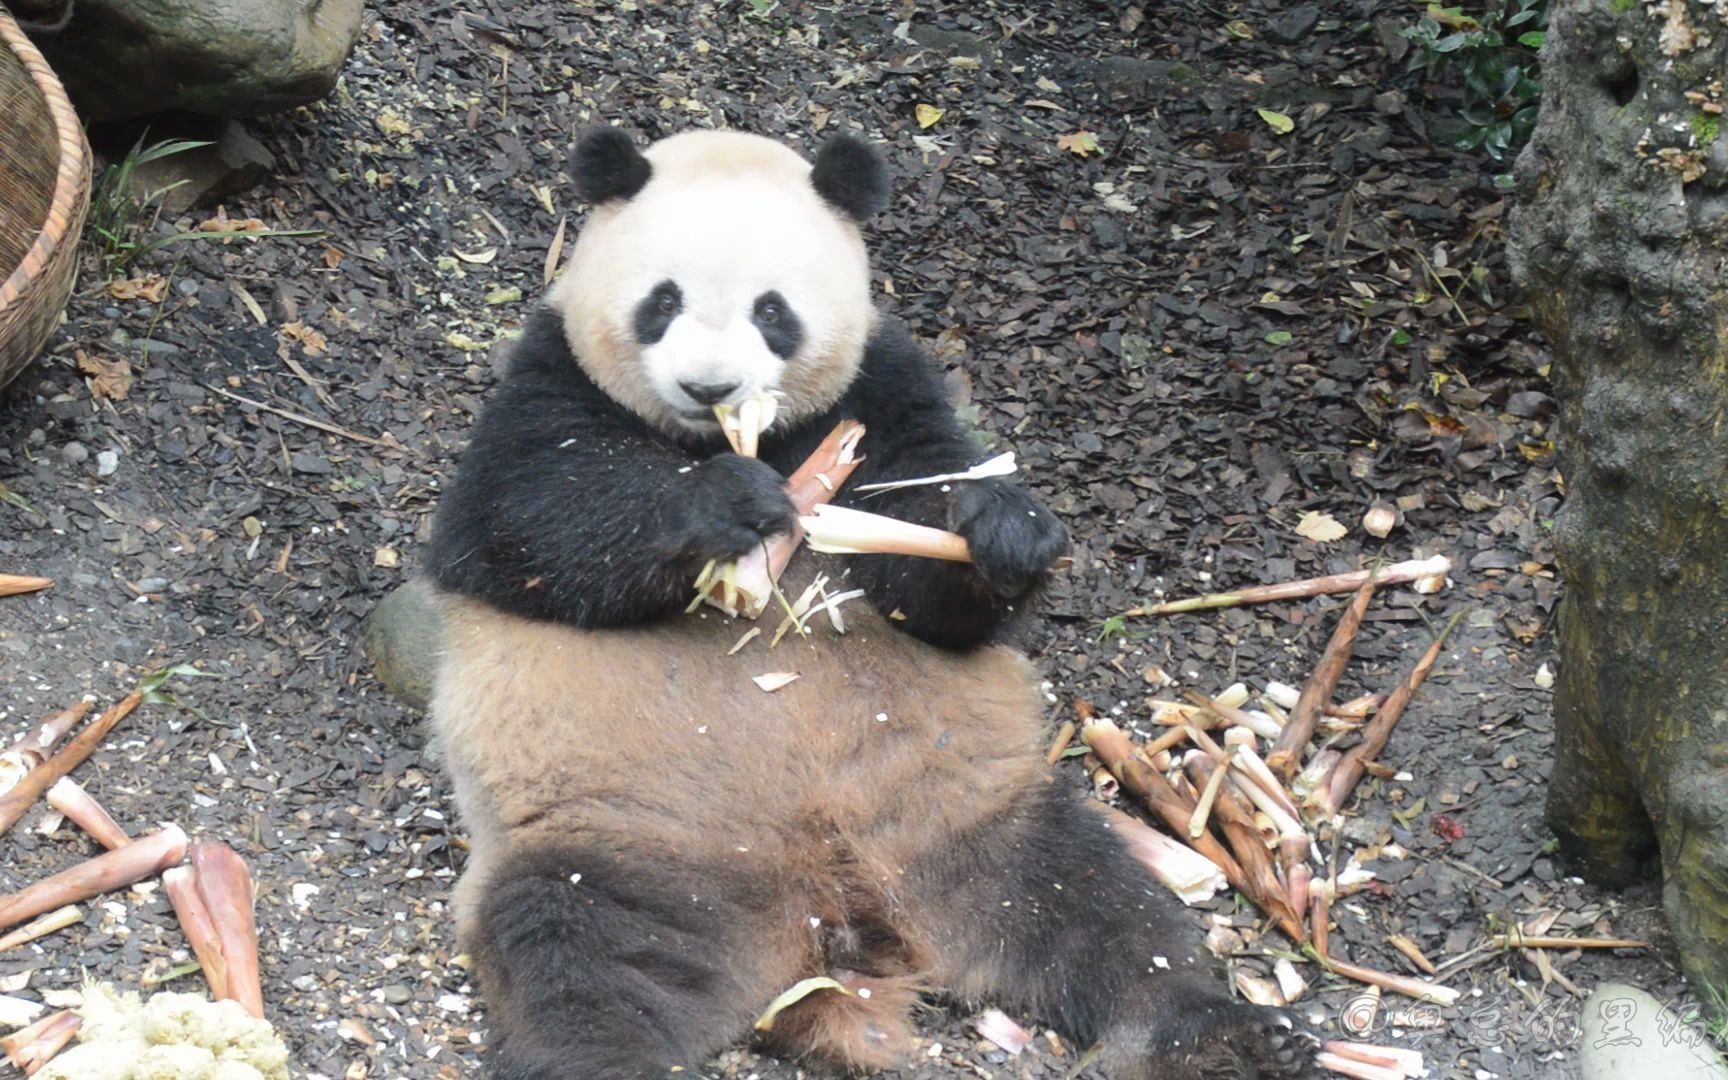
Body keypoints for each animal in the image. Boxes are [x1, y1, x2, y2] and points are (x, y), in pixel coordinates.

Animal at [421, 121, 1299, 1071]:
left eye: (773, 311)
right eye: (663, 300)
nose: (711, 388)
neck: (730, 438)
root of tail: (830, 915)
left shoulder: (880, 388)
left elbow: (928, 562)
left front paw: (1002, 531)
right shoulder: (546, 380)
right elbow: (524, 519)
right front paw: (725, 506)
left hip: (962, 819)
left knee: (1099, 907)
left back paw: (1217, 1031)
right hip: (627, 843)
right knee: (581, 959)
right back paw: (606, 1054)